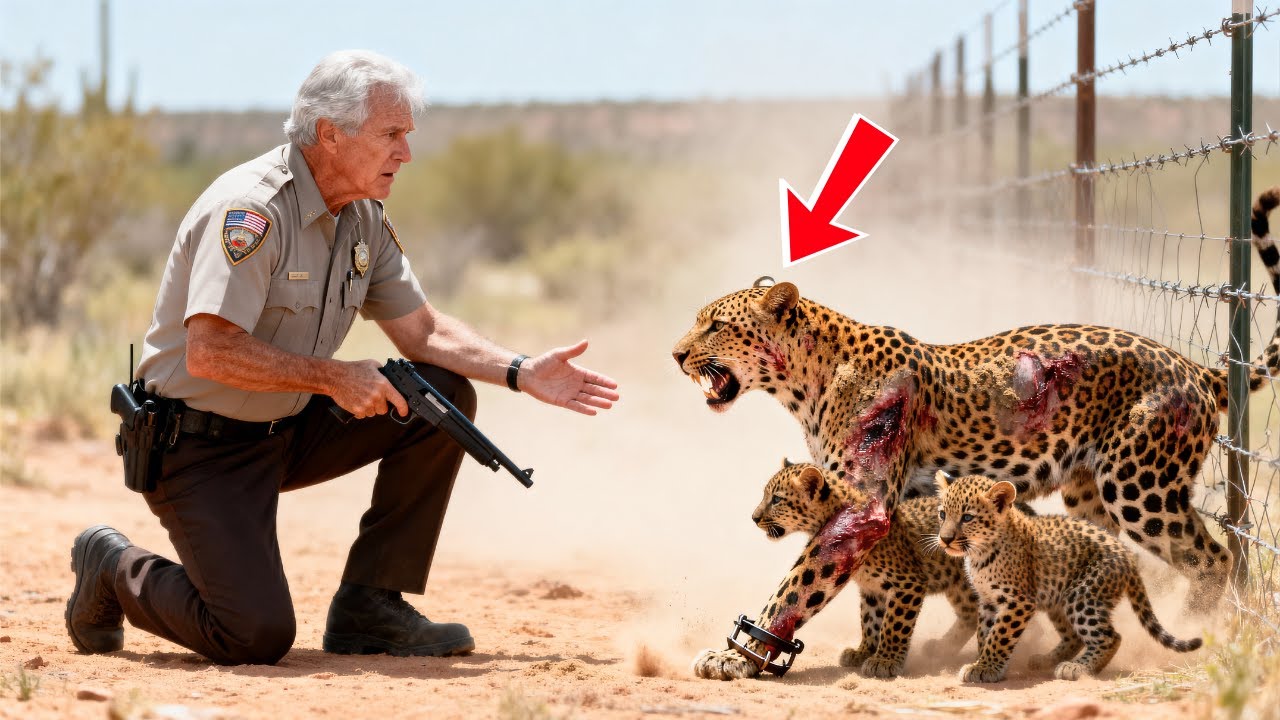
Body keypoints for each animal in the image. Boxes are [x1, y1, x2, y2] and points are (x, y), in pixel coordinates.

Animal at [747, 459, 977, 679]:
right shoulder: (872, 589)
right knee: (970, 613)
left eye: (776, 499)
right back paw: (942, 648)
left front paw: (885, 660)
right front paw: (864, 651)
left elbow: (894, 624)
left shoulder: (909, 583)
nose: (754, 517)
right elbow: (870, 620)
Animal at [935, 471, 1202, 683]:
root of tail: (1125, 553)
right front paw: (984, 663)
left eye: (967, 517)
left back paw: (1077, 668)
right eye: (942, 514)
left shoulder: (1018, 601)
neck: (979, 555)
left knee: (1110, 637)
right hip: (1058, 597)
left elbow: (999, 635)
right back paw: (1046, 660)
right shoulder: (988, 601)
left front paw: (986, 667)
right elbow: (985, 634)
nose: (945, 539)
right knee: (1074, 636)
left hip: (1083, 595)